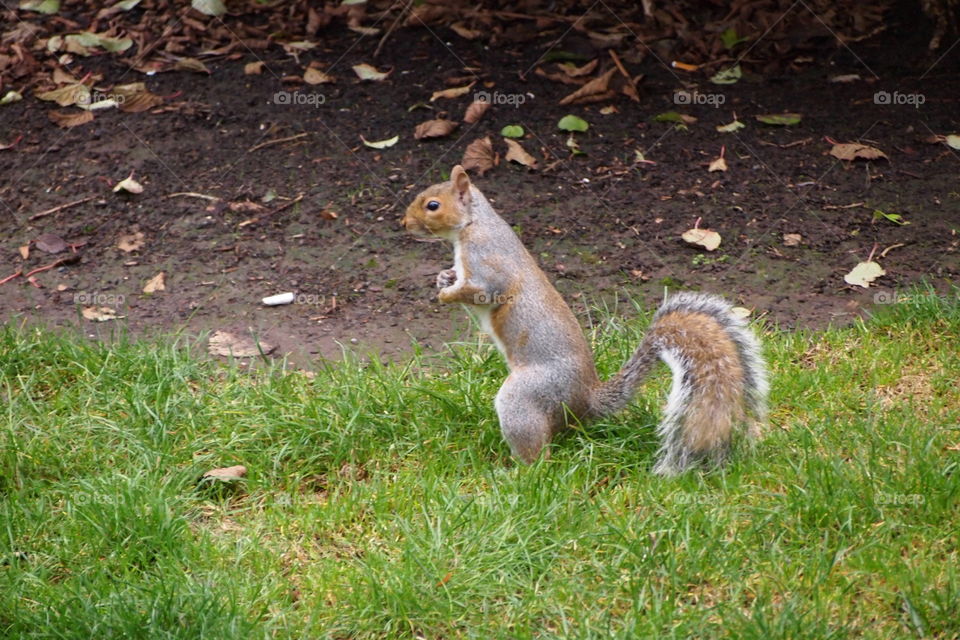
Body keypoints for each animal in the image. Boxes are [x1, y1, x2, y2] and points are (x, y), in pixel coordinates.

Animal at [402, 165, 769, 474]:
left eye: (432, 205)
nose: (404, 223)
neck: (472, 225)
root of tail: (584, 401)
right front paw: (443, 278)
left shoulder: (488, 265)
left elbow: (485, 291)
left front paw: (446, 295)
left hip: (526, 397)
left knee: (538, 454)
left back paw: (513, 472)